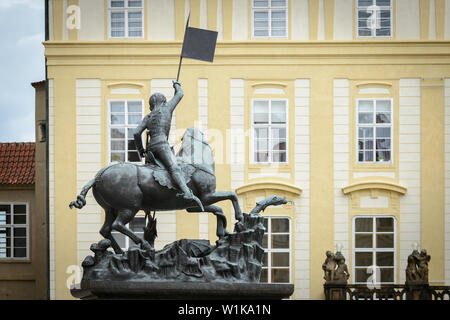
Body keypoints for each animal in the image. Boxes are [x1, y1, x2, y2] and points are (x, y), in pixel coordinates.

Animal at [69, 127, 243, 255]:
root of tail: (99, 176)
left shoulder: (194, 205)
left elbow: (219, 210)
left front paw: (223, 232)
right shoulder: (207, 197)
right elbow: (232, 196)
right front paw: (239, 218)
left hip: (110, 209)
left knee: (106, 229)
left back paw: (119, 252)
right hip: (130, 207)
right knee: (118, 225)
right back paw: (144, 244)